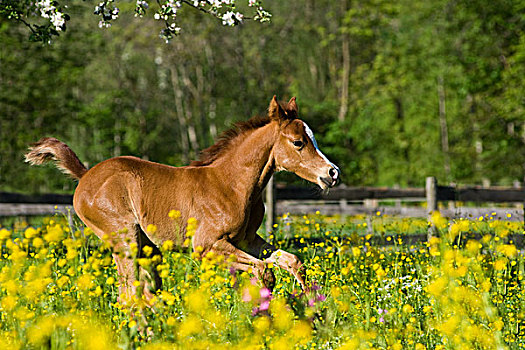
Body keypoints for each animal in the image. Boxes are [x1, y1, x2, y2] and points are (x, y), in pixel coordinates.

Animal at [26, 95, 340, 300]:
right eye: (298, 142)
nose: (332, 173)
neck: (231, 185)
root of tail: (85, 175)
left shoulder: (247, 241)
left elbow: (291, 261)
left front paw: (311, 306)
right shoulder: (207, 246)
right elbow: (265, 272)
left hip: (147, 248)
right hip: (124, 240)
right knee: (128, 292)